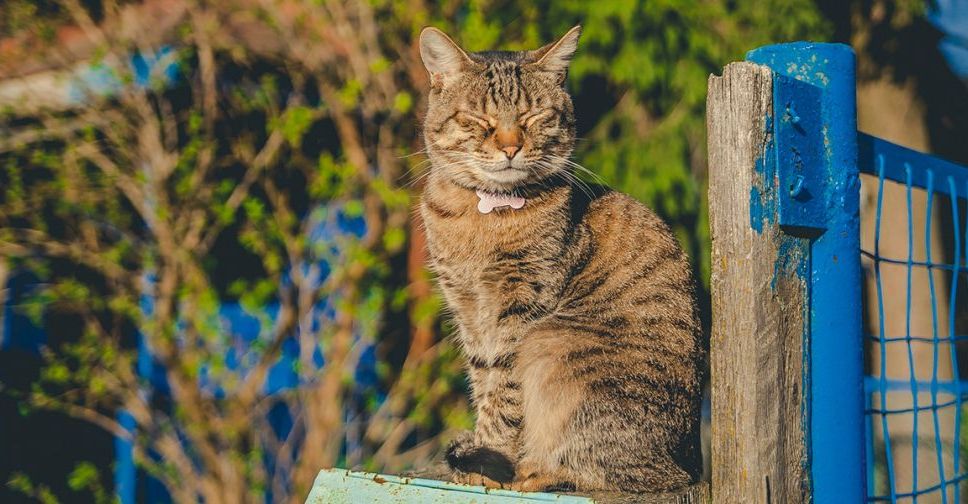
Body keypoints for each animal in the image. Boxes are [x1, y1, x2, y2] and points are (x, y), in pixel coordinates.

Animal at [416, 26, 704, 492]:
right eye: (479, 119)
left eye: (534, 117)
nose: (511, 148)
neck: (484, 217)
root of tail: (687, 466)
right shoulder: (467, 308)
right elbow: (483, 380)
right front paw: (480, 455)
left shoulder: (524, 304)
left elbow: (505, 391)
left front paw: (491, 459)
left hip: (555, 348)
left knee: (602, 472)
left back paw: (530, 472)